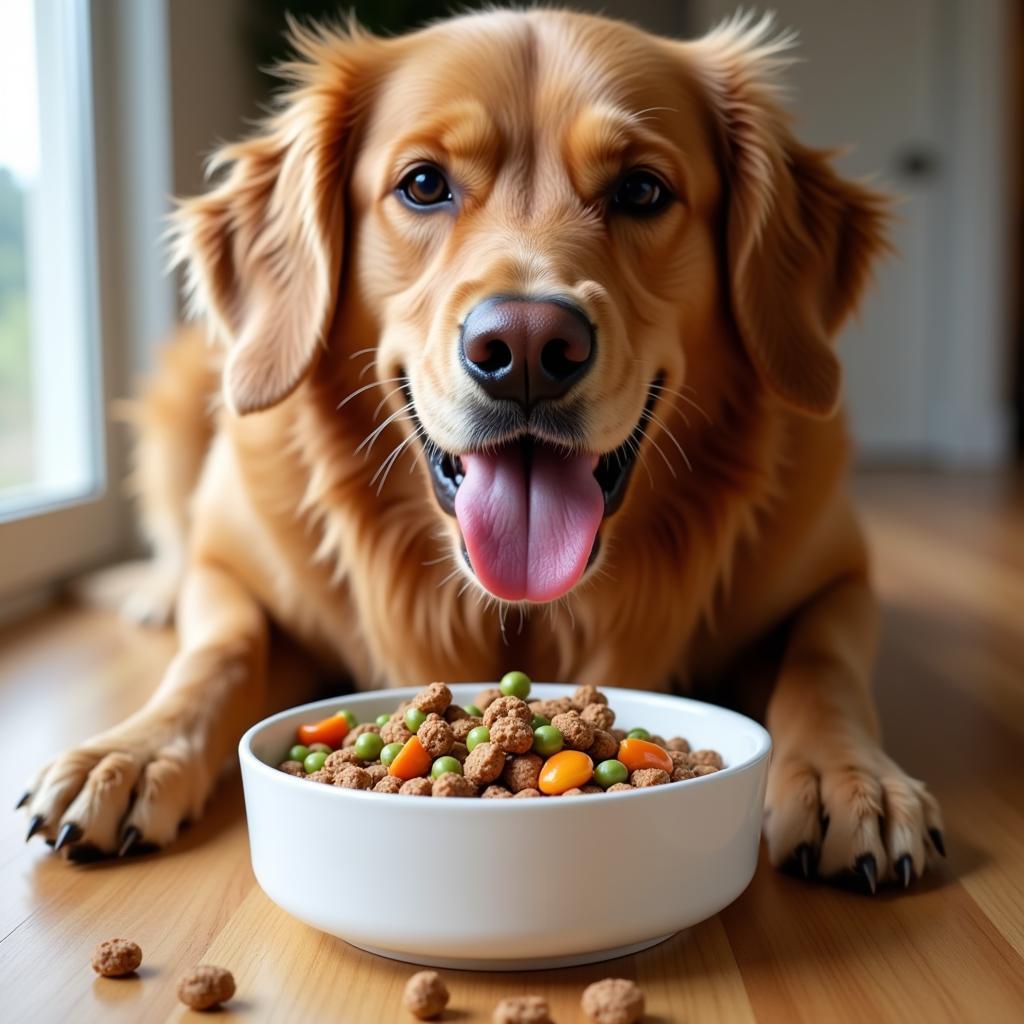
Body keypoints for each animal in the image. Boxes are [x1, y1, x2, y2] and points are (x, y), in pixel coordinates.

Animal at [19, 9, 937, 888]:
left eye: (642, 189)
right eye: (424, 185)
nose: (528, 347)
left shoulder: (837, 580)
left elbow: (823, 668)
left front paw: (852, 780)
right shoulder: (236, 570)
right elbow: (219, 653)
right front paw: (130, 754)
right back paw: (150, 596)